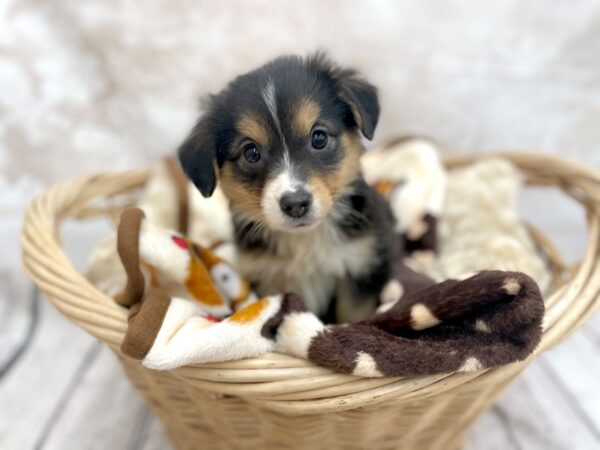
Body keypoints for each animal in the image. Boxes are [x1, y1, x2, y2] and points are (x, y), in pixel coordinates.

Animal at [177, 54, 398, 322]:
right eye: (251, 153)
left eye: (319, 138)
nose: (295, 204)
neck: (304, 241)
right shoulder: (266, 278)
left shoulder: (362, 264)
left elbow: (352, 316)